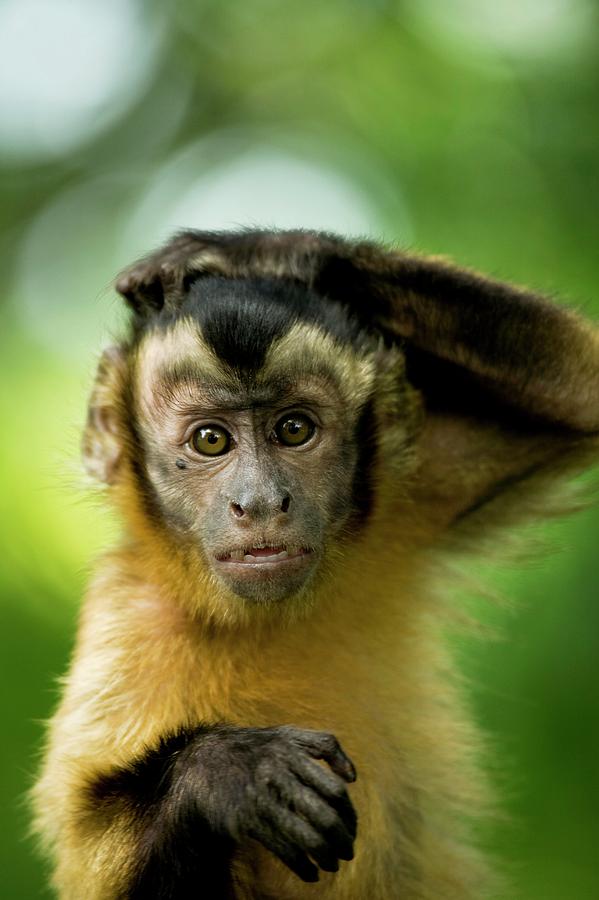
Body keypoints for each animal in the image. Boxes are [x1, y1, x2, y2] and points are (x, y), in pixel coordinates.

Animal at [32, 229, 599, 900]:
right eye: (211, 441)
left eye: (294, 429)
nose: (259, 502)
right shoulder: (127, 618)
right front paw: (227, 775)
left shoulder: (408, 496)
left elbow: (586, 386)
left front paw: (259, 252)